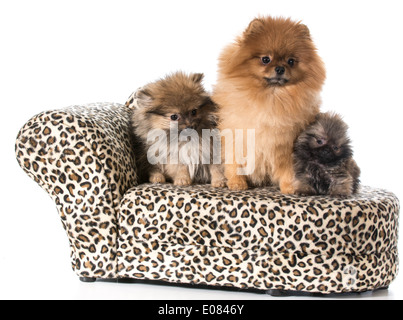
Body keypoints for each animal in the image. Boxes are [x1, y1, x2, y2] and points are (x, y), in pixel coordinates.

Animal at [213, 15, 326, 192]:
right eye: (265, 59)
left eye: (291, 61)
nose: (280, 68)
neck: (271, 99)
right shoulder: (237, 136)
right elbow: (234, 162)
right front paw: (237, 183)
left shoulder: (286, 145)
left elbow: (288, 169)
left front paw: (289, 187)